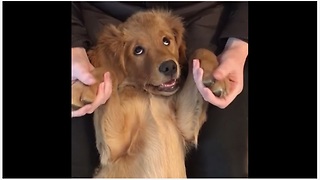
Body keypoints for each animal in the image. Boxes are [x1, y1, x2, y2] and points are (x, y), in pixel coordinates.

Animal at [72, 9, 228, 177]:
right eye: (138, 50)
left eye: (166, 41)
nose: (170, 67)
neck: (150, 97)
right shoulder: (114, 147)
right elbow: (109, 72)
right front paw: (85, 86)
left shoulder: (185, 126)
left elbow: (200, 51)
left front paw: (216, 74)